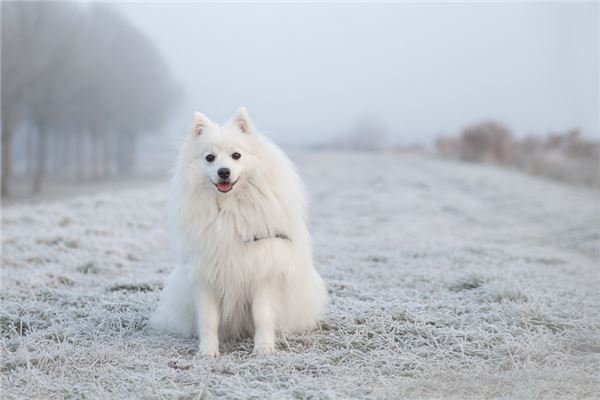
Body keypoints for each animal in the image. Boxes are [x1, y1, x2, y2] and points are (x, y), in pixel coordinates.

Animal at [152, 108, 326, 354]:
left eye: (236, 155)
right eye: (209, 158)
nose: (223, 172)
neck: (229, 210)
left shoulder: (263, 273)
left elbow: (262, 316)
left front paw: (263, 349)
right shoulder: (205, 278)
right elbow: (208, 320)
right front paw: (207, 351)